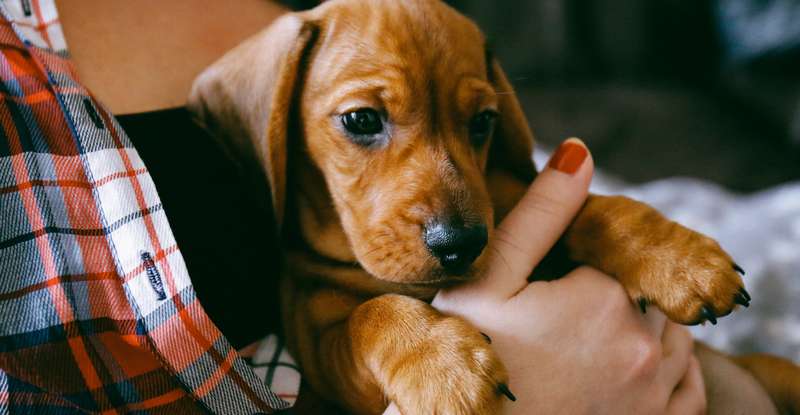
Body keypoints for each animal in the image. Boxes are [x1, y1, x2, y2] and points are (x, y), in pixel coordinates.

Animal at [189, 0, 800, 414]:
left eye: (483, 122)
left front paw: (678, 259)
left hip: (775, 371)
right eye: (361, 120)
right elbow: (372, 314)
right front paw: (443, 365)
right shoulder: (321, 348)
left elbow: (598, 209)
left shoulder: (511, 203)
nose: (460, 245)